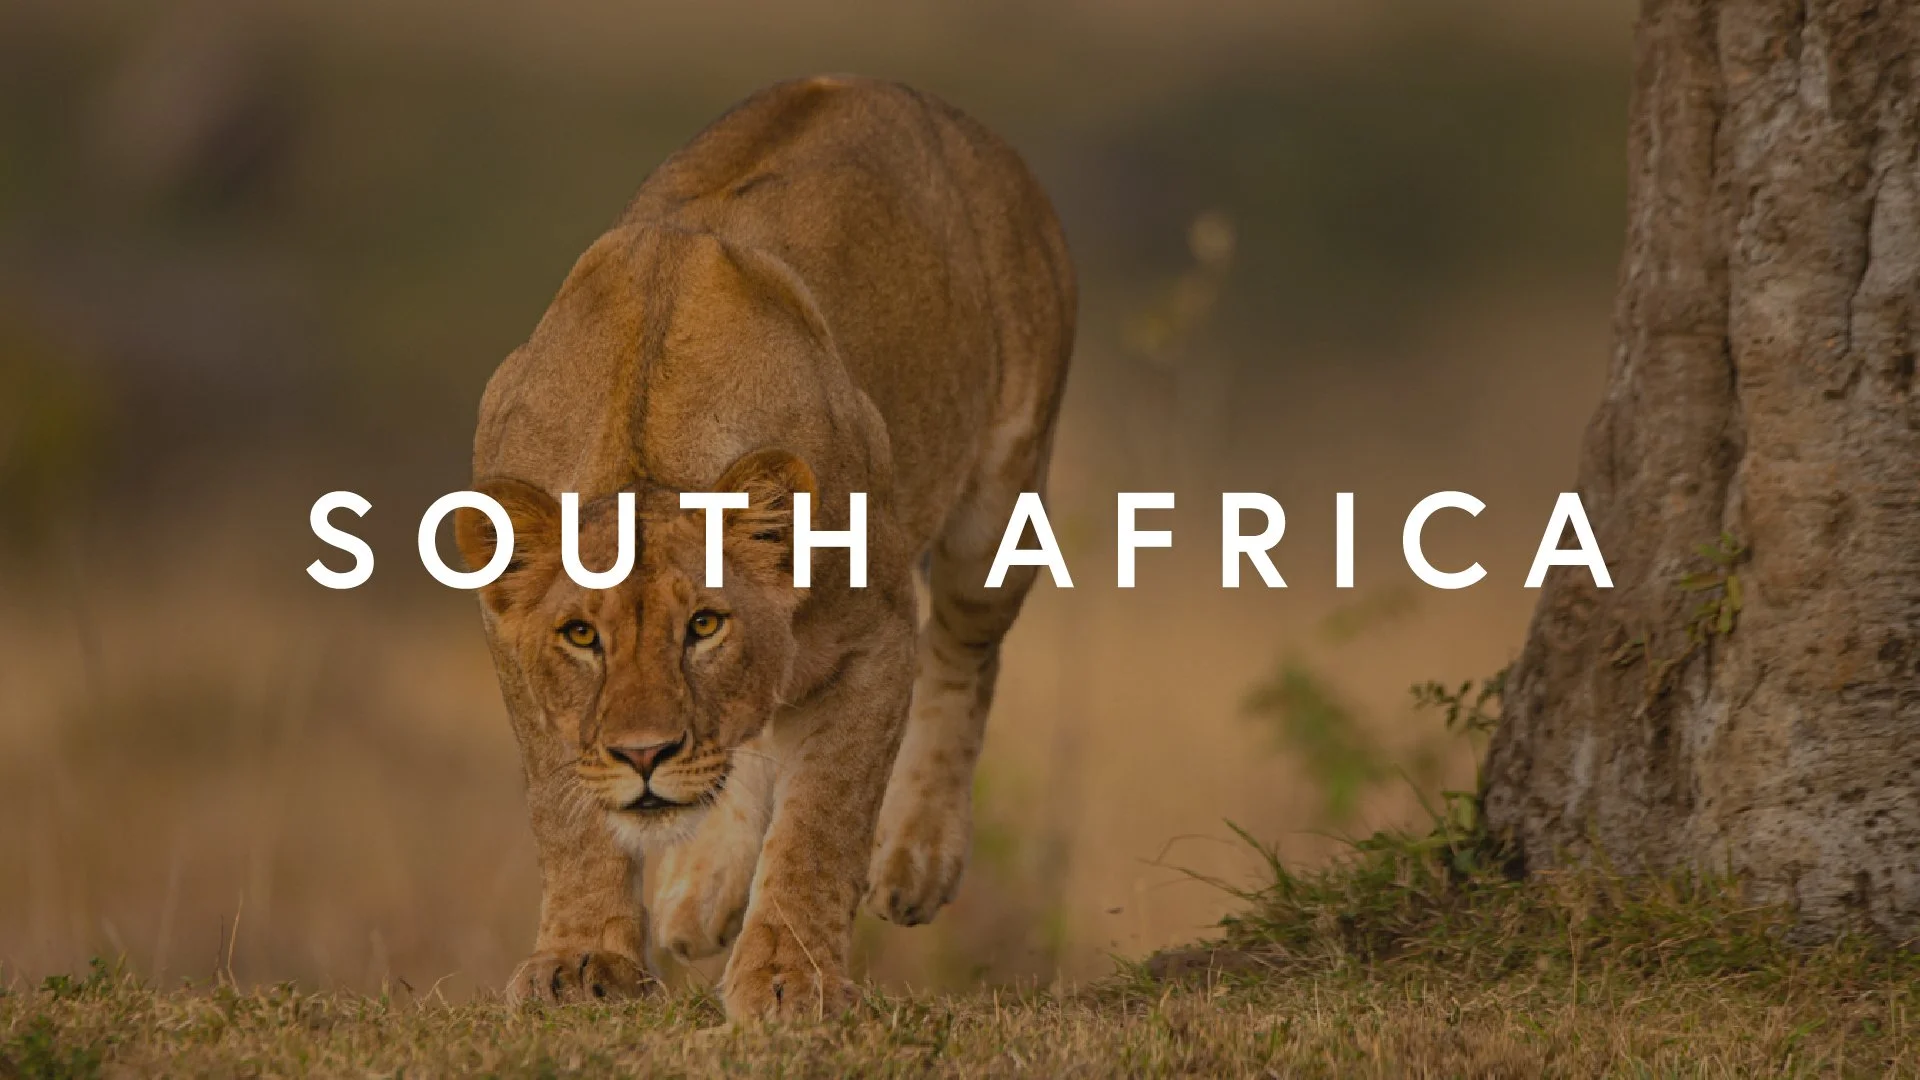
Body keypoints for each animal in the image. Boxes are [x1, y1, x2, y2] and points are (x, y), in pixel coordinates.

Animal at [452, 75, 1074, 1021]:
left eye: (705, 626)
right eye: (581, 636)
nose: (643, 756)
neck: (646, 452)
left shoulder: (874, 637)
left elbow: (822, 820)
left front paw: (790, 978)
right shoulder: (513, 647)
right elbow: (567, 812)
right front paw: (582, 961)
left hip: (1001, 493)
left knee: (966, 653)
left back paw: (917, 856)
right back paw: (700, 894)